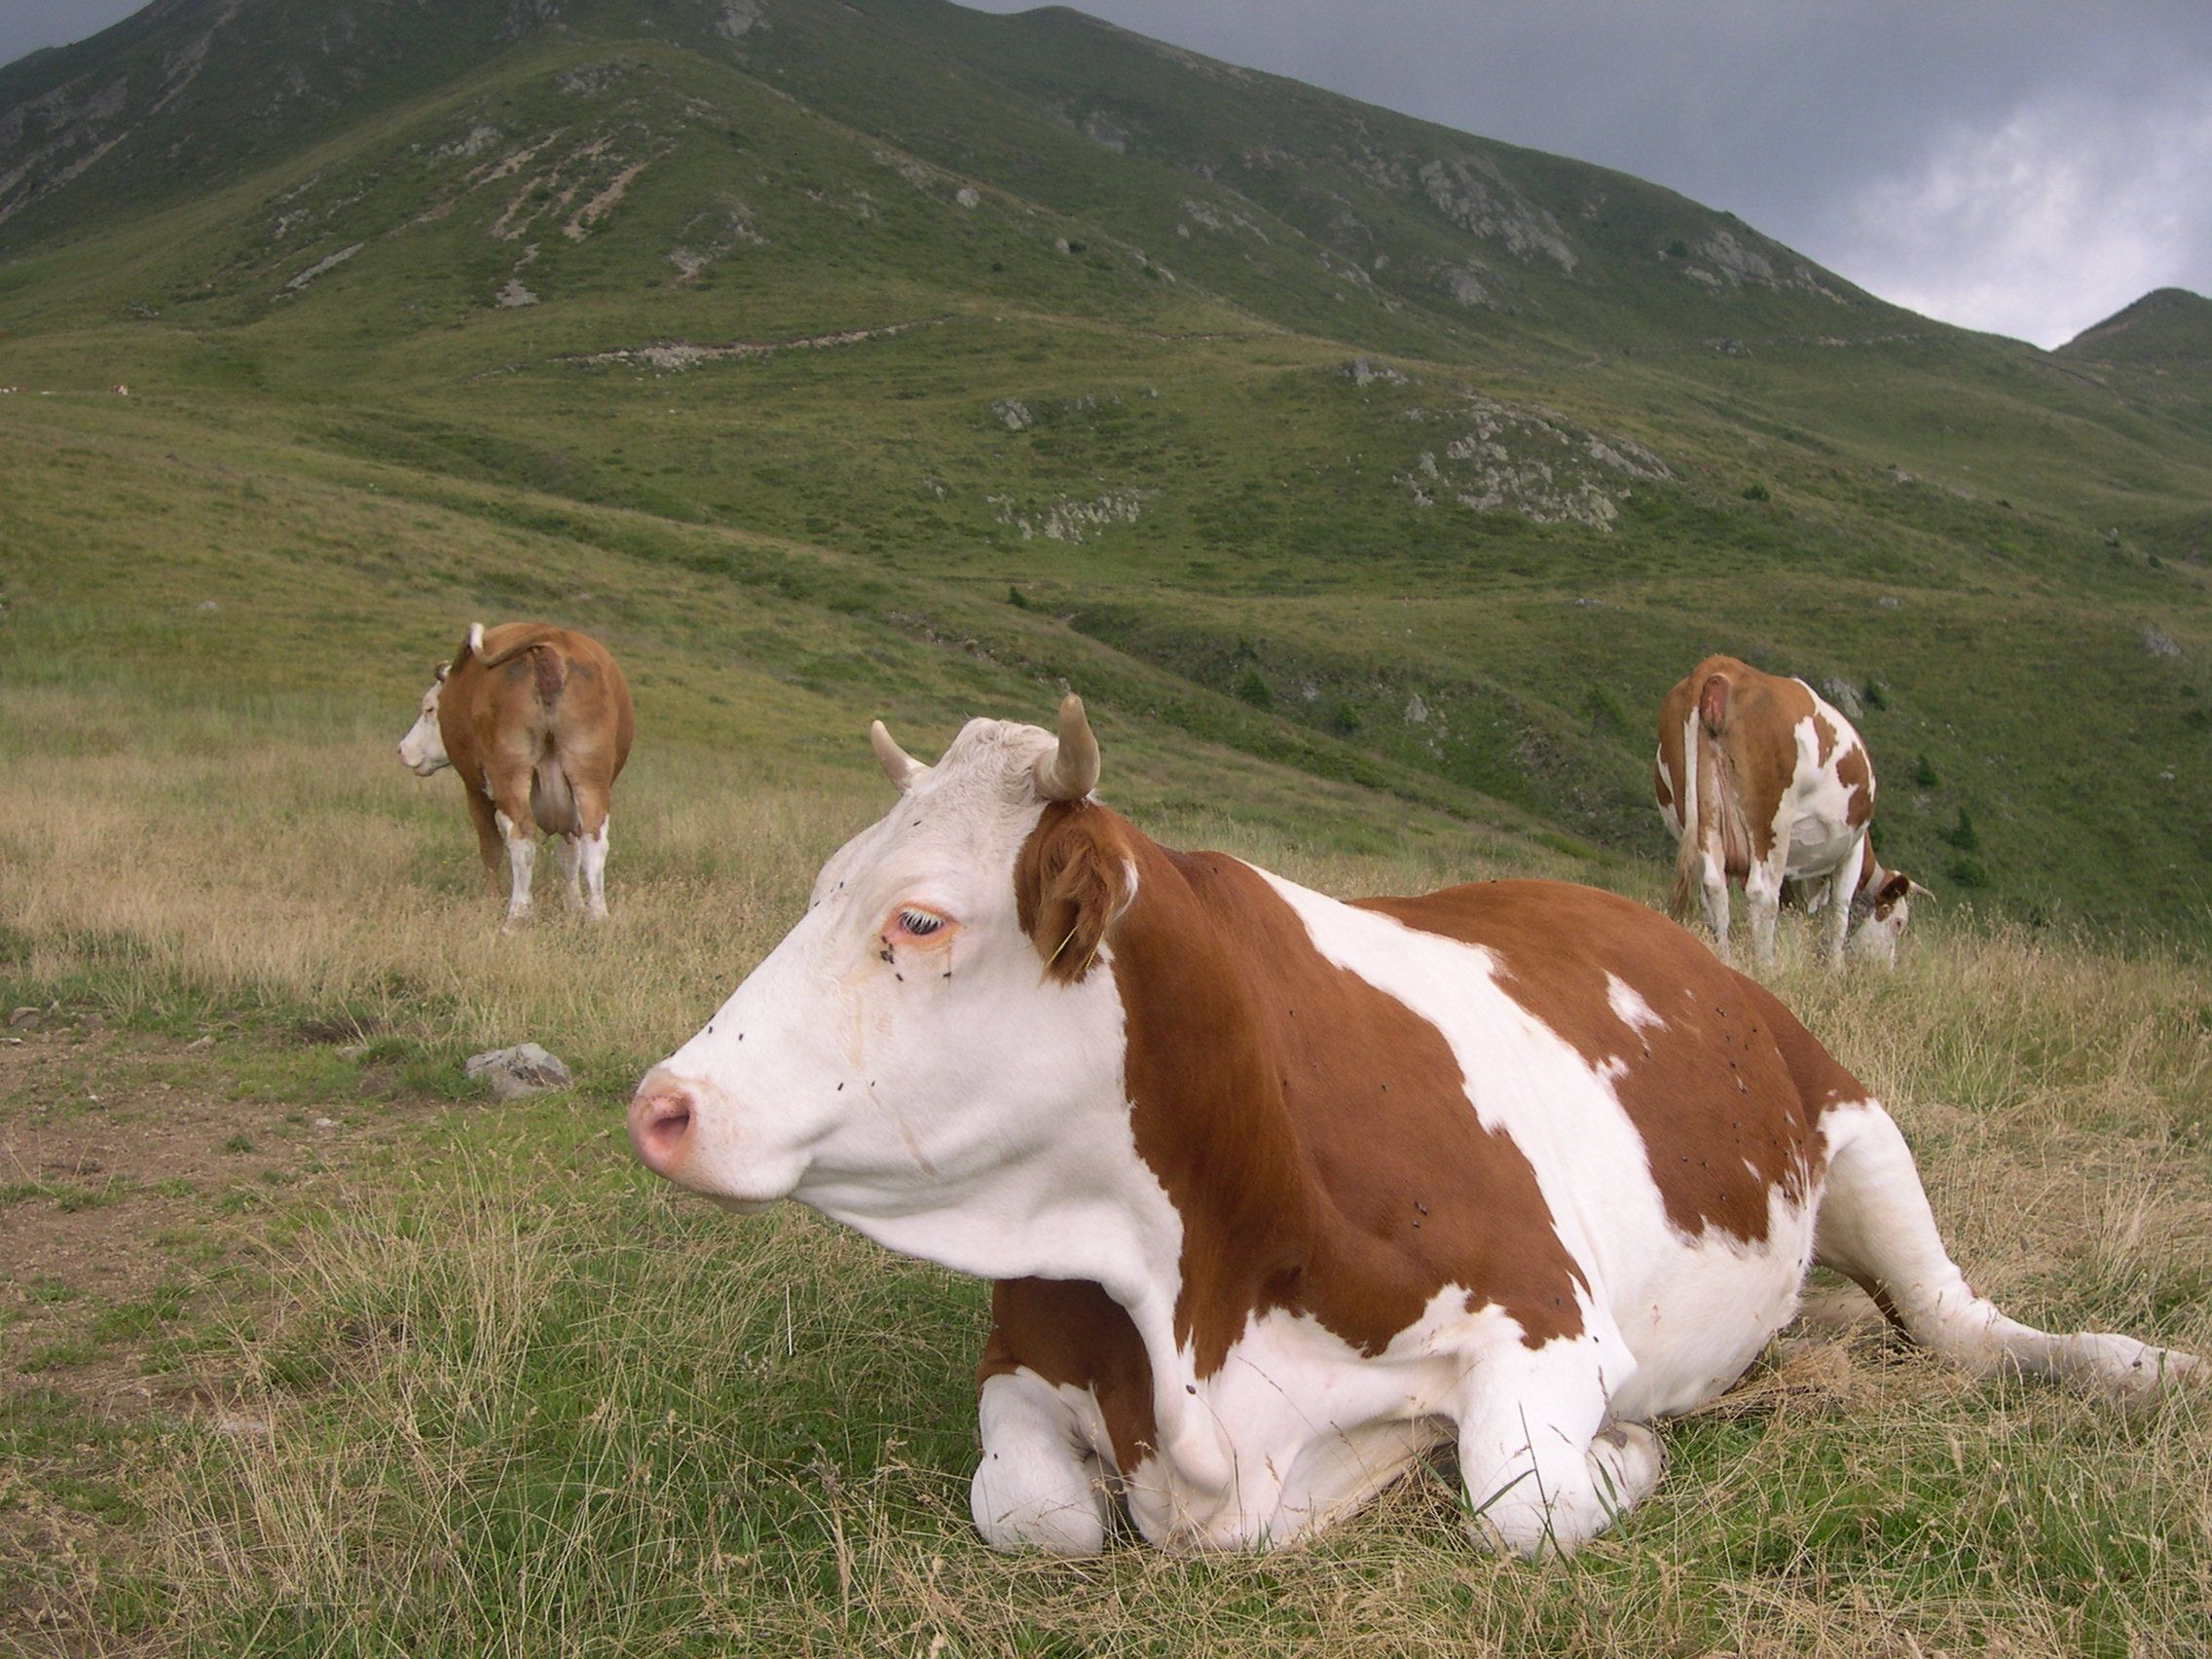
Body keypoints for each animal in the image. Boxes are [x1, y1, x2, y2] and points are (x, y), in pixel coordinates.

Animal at [395, 628, 632, 938]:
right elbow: (569, 855)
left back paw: (517, 915)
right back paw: (598, 915)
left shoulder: (475, 791)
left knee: (520, 838)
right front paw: (576, 907)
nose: (402, 749)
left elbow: (490, 847)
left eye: (430, 709)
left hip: (509, 774)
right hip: (589, 776)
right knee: (594, 840)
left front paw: (490, 903)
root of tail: (550, 642)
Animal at [628, 698, 2194, 1557]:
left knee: (1966, 1323)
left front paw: (1628, 1456)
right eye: (822, 885)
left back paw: (2139, 1367)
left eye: (919, 919)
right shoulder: (1026, 1355)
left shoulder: (1547, 1317)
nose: (662, 1104)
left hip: (1858, 1127)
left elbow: (1520, 1497)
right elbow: (1037, 1512)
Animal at [1663, 654, 1920, 969]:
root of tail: (1723, 666)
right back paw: (1766, 965)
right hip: (1772, 822)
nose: (1887, 967)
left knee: (1713, 885)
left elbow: (1795, 914)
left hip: (1704, 812)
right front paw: (1835, 968)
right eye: (1898, 922)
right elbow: (1838, 913)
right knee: (1762, 894)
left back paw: (1723, 959)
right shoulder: (1852, 851)